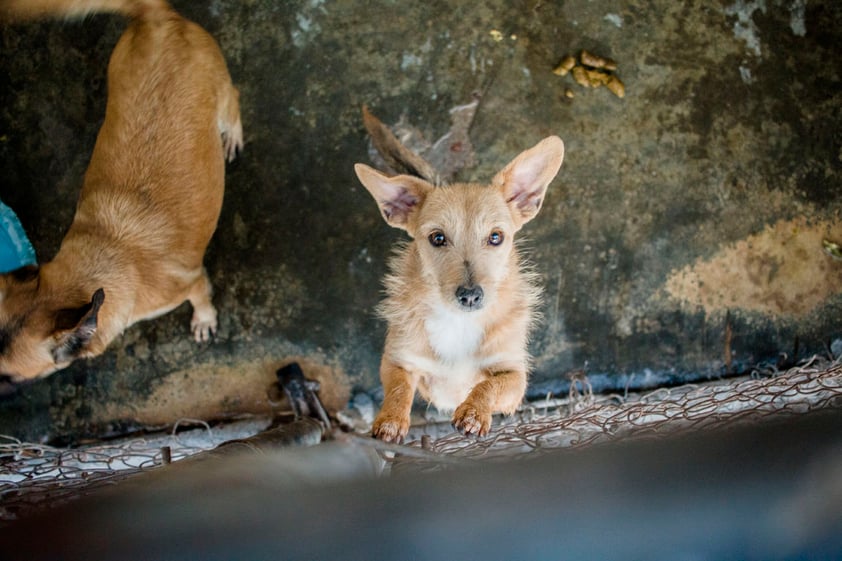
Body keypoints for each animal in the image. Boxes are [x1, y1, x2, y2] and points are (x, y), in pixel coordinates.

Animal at [0, 0, 243, 384]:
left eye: (9, 379)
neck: (99, 265)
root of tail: (156, 18)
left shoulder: (192, 284)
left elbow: (202, 300)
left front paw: (205, 320)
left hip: (219, 96)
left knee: (233, 99)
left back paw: (232, 134)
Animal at [354, 104, 564, 438]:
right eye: (437, 238)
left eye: (496, 237)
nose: (470, 296)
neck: (458, 321)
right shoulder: (398, 360)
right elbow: (399, 389)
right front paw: (390, 420)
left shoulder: (515, 378)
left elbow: (490, 385)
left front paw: (475, 412)